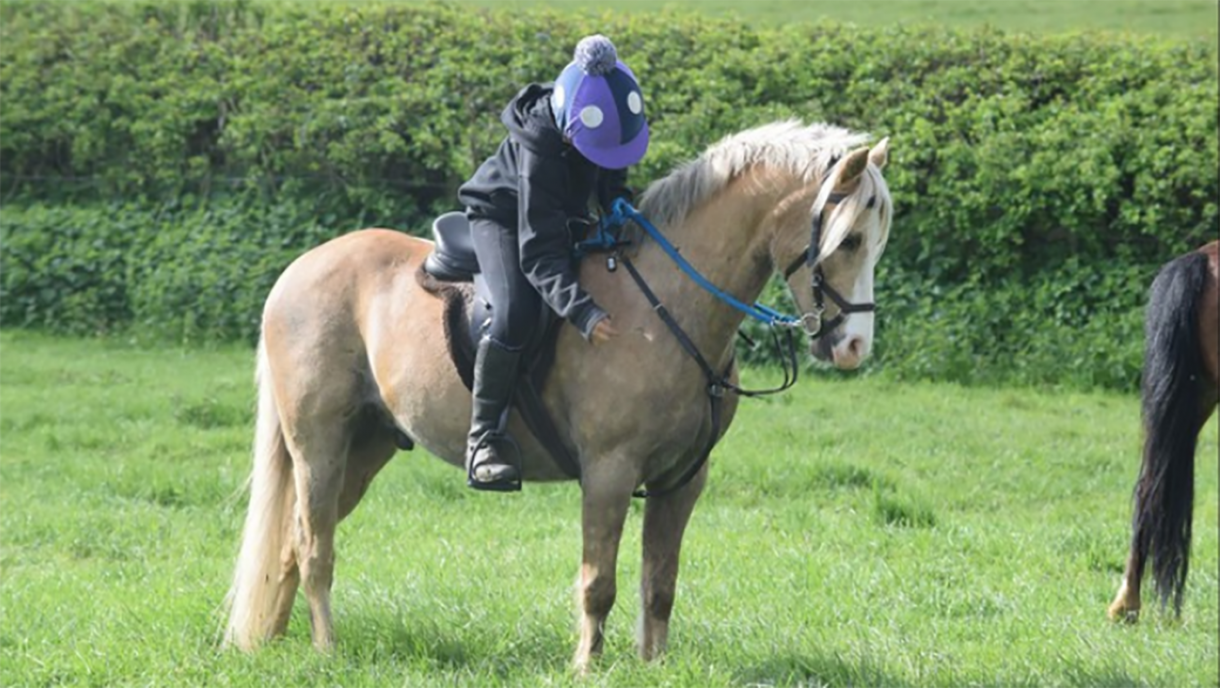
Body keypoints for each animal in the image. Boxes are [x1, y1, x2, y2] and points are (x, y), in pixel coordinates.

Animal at [222, 120, 894, 669]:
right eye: (850, 241)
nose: (854, 346)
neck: (664, 307)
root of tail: (297, 272)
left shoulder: (682, 481)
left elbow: (660, 584)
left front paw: (652, 666)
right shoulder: (609, 472)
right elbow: (599, 582)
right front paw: (585, 668)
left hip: (367, 447)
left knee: (292, 547)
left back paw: (274, 645)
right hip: (318, 445)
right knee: (314, 548)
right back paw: (326, 652)